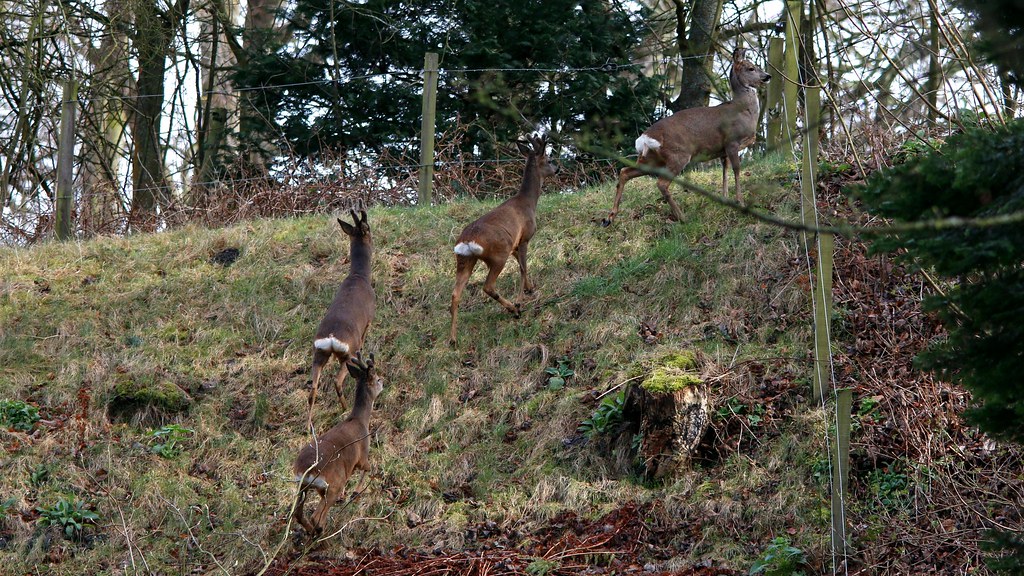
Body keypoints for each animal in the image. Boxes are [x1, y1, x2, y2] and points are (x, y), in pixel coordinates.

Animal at [292, 352, 383, 539]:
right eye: (377, 379)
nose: (383, 382)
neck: (359, 420)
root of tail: (306, 471)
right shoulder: (362, 454)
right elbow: (368, 468)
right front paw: (355, 492)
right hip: (333, 483)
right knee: (316, 516)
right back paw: (320, 533)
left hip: (302, 486)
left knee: (298, 513)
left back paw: (313, 533)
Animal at [307, 208, 375, 431]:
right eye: (368, 227)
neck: (359, 276)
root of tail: (330, 338)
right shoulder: (369, 320)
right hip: (348, 353)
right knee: (337, 380)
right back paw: (344, 408)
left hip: (319, 353)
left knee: (312, 388)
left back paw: (308, 425)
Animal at [449, 134, 558, 345]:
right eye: (548, 160)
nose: (557, 168)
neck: (528, 203)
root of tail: (467, 242)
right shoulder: (524, 238)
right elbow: (523, 268)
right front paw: (521, 299)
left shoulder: (514, 245)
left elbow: (523, 267)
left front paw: (530, 288)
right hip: (498, 254)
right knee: (488, 286)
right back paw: (514, 309)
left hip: (465, 259)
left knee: (455, 293)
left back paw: (453, 339)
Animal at [601, 48, 771, 226]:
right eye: (751, 68)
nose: (767, 76)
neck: (743, 110)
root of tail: (644, 138)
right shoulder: (732, 141)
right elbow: (737, 169)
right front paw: (740, 202)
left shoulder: (722, 150)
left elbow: (724, 171)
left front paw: (725, 199)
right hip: (678, 154)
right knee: (661, 183)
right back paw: (682, 217)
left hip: (651, 159)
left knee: (625, 172)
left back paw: (609, 217)